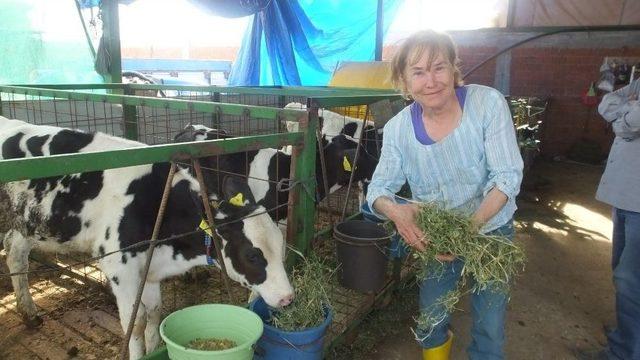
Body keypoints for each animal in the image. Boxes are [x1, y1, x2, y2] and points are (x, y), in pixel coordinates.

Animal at [0, 117, 294, 358]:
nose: (288, 298)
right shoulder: (121, 269)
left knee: (14, 251)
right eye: (252, 255)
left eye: (280, 246)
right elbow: (136, 323)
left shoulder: (150, 269)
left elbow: (154, 314)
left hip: (28, 224)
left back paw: (28, 312)